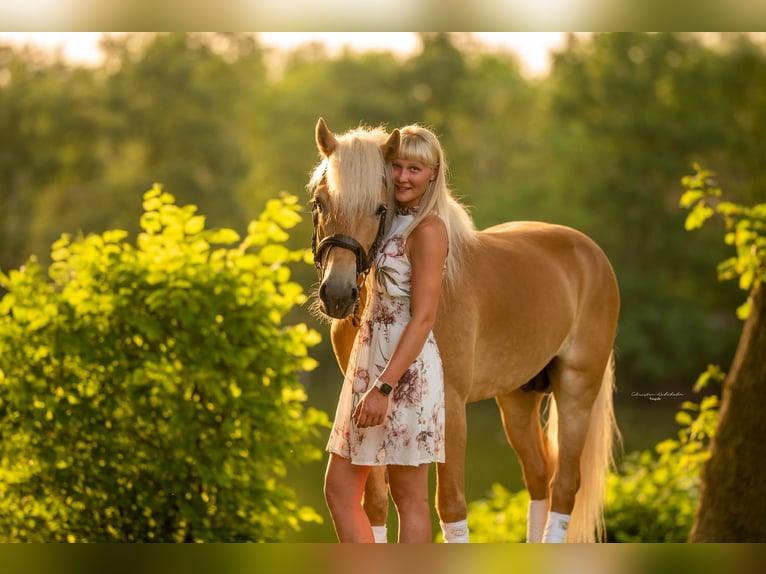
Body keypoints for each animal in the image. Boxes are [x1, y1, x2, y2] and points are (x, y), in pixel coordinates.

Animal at [308, 118, 620, 544]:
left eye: (380, 207)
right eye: (320, 202)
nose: (338, 295)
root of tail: (590, 253)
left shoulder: (452, 409)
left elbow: (451, 507)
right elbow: (373, 507)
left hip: (577, 392)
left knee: (565, 487)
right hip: (516, 399)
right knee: (539, 479)